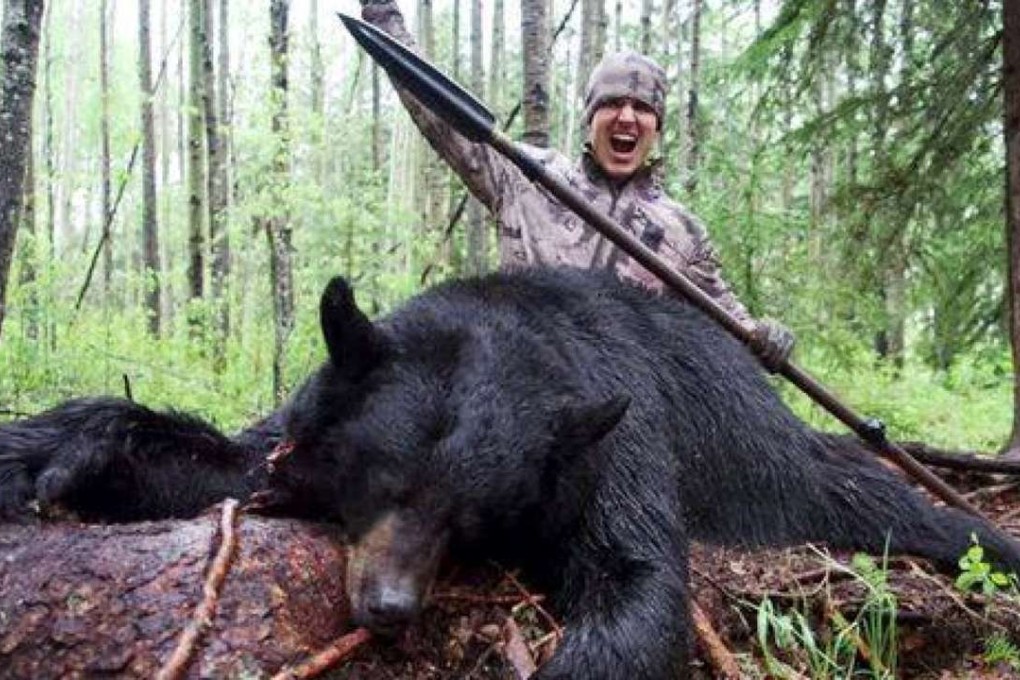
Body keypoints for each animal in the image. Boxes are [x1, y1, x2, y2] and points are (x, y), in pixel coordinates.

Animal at [2, 267, 1019, 679]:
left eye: (471, 518)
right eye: (380, 481)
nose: (387, 607)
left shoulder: (616, 437)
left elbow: (636, 582)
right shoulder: (306, 429)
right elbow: (239, 464)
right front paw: (59, 456)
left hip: (787, 464)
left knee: (892, 502)